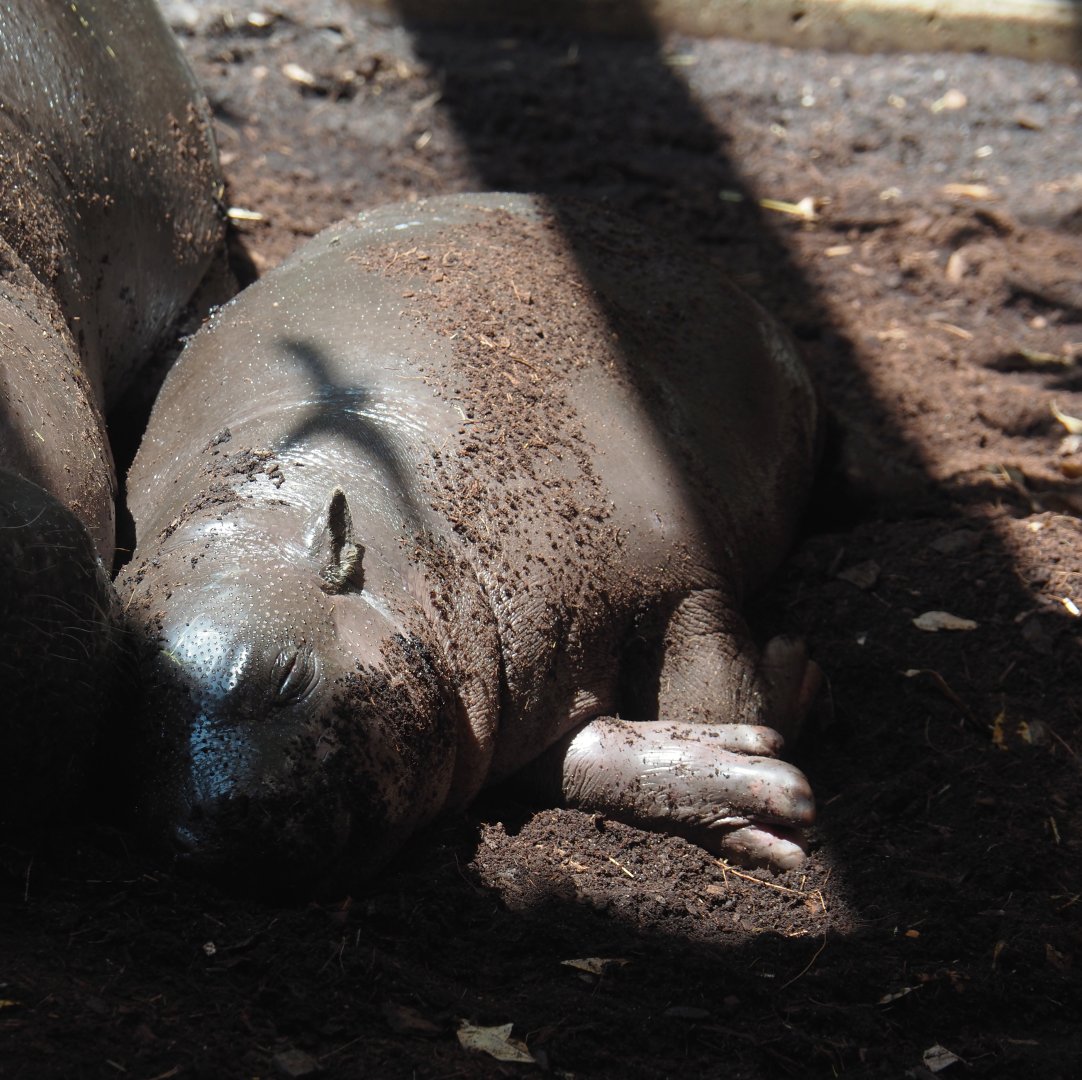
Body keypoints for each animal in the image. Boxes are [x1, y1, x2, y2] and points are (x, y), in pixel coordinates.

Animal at [121, 193, 820, 889]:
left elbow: (714, 690)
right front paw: (763, 783)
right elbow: (594, 754)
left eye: (288, 678)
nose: (211, 839)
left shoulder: (680, 578)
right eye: (128, 733)